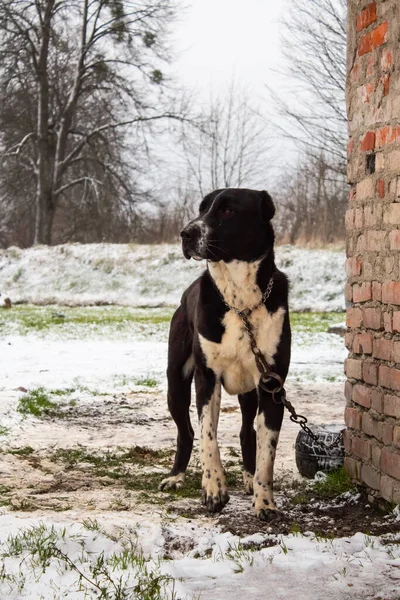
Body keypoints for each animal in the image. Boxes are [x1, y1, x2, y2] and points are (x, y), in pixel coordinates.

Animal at [160, 189, 290, 520]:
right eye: (202, 208)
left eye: (229, 211)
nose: (186, 233)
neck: (240, 300)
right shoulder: (206, 378)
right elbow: (208, 435)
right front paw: (213, 489)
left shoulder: (272, 386)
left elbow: (267, 450)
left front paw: (264, 501)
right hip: (175, 382)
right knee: (186, 432)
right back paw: (176, 476)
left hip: (250, 391)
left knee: (247, 433)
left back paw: (248, 478)